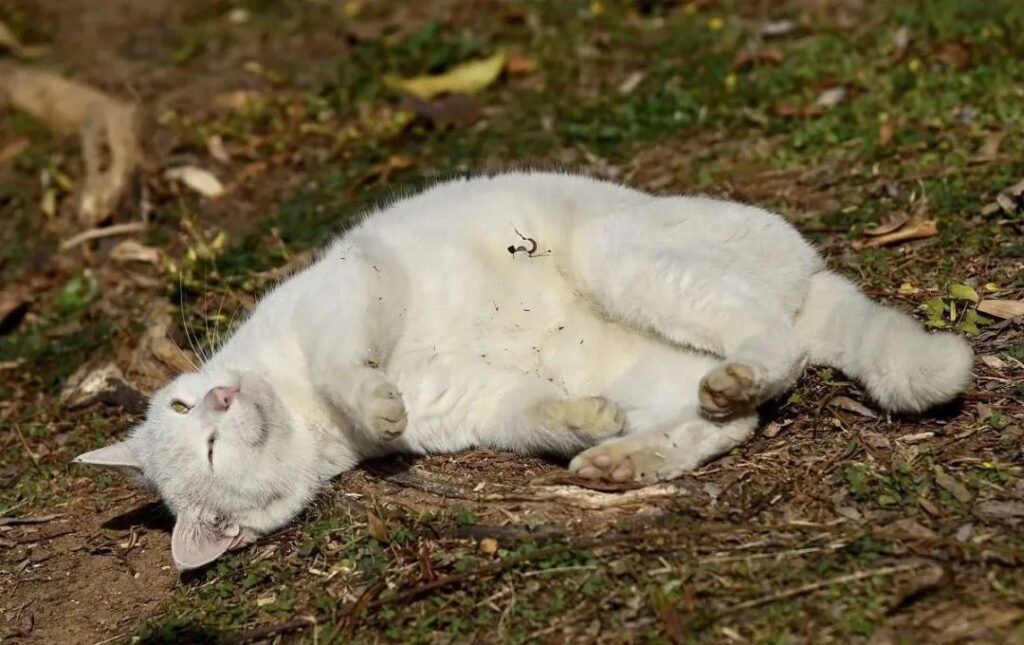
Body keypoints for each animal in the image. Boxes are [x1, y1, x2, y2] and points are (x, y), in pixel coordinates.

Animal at [74, 172, 974, 569]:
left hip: (626, 253)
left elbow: (347, 365)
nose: (225, 394)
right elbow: (535, 411)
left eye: (189, 413)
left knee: (776, 346)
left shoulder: (350, 288)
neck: (301, 409)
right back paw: (622, 455)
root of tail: (811, 272)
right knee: (730, 418)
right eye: (208, 444)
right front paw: (581, 419)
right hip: (660, 362)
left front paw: (374, 402)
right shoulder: (474, 402)